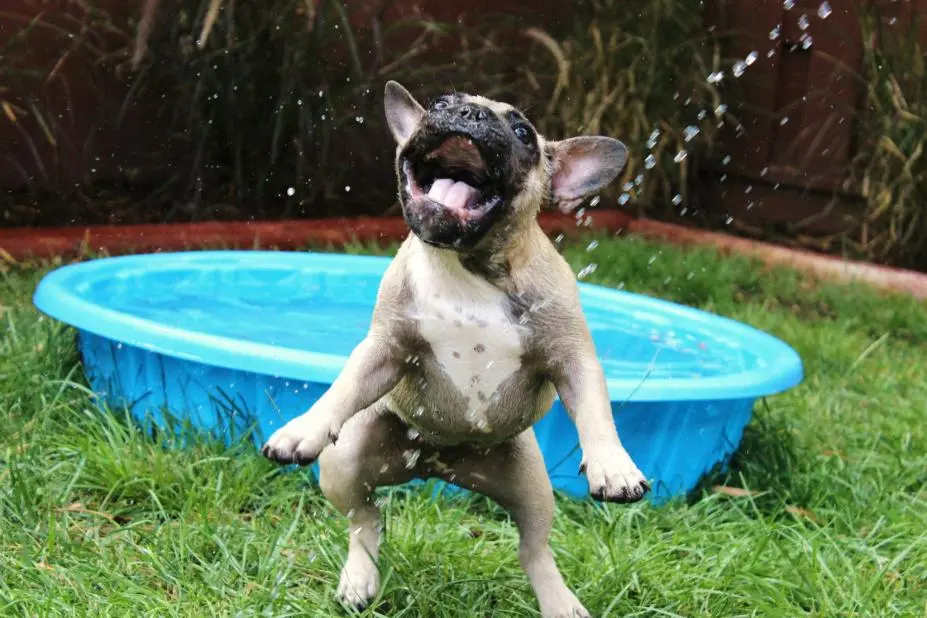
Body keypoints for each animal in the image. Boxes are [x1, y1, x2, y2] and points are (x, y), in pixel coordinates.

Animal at [262, 81, 649, 617]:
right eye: (441, 104)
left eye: (523, 132)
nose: (466, 113)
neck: (465, 264)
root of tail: (438, 464)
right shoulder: (385, 349)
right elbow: (344, 387)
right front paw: (304, 427)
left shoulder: (571, 357)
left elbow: (595, 412)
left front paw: (613, 465)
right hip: (347, 461)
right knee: (365, 518)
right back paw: (360, 577)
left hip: (531, 484)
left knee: (533, 548)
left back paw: (559, 601)